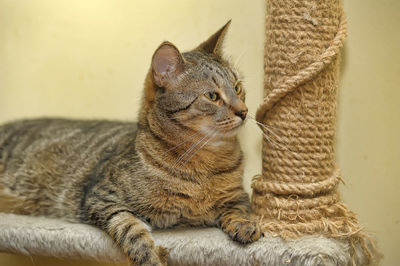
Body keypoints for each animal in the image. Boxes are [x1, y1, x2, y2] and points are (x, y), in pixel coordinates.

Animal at [0, 21, 260, 266]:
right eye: (212, 96)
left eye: (238, 87)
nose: (244, 111)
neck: (205, 163)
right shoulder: (102, 199)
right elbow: (131, 229)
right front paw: (150, 256)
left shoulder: (238, 195)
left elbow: (240, 209)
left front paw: (245, 224)